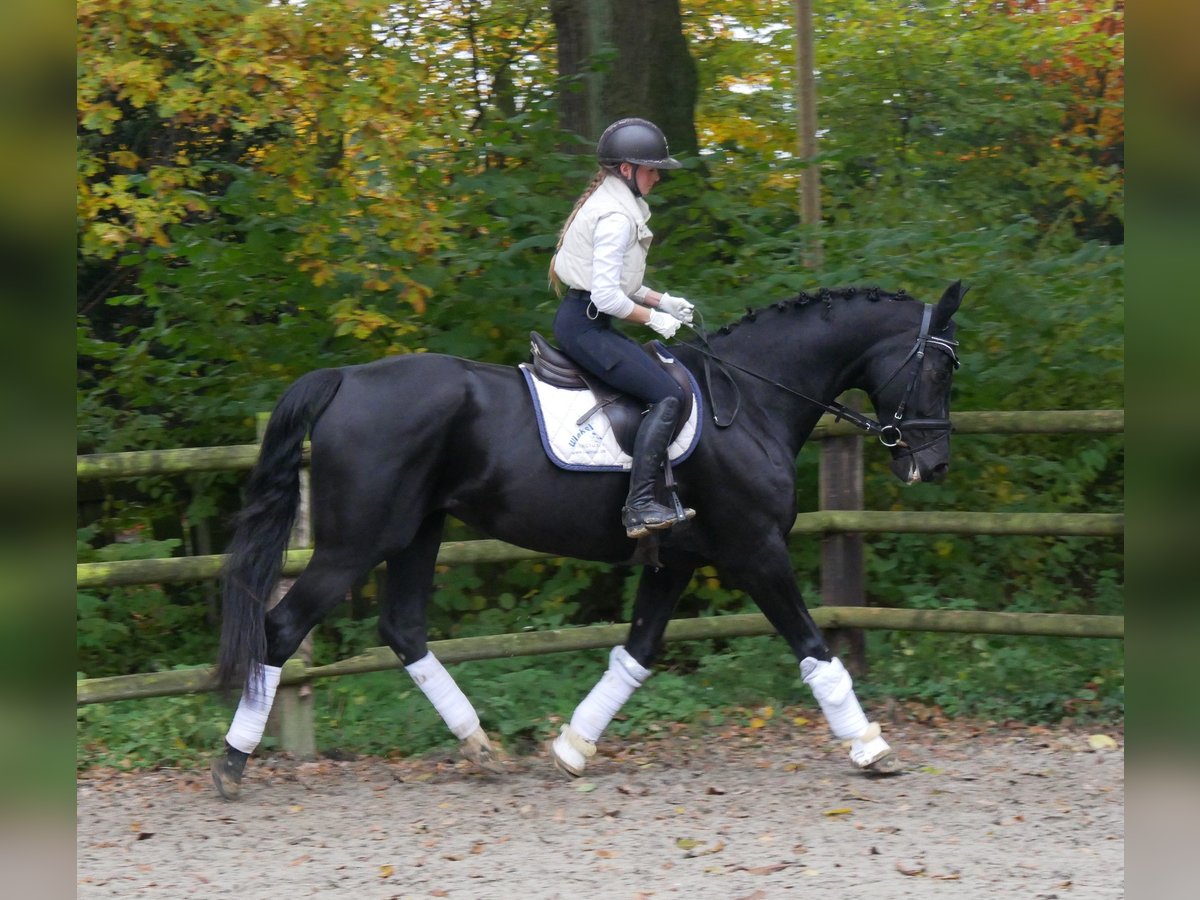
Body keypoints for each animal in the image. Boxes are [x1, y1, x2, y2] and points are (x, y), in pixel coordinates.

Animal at [211, 283, 964, 801]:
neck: (750, 403)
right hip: (356, 543)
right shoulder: (755, 552)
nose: (932, 465)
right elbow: (814, 648)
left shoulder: (677, 561)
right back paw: (232, 763)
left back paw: (479, 745)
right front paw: (871, 748)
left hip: (417, 531)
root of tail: (346, 380)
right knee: (281, 629)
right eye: (938, 371)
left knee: (402, 628)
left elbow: (637, 652)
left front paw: (572, 748)